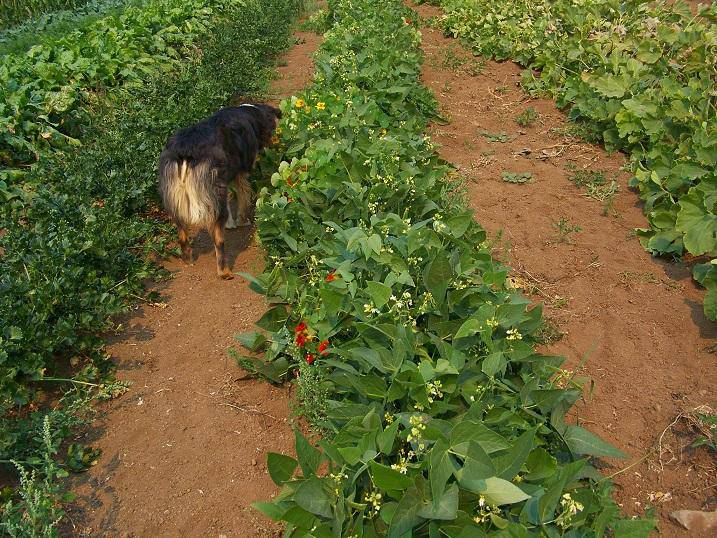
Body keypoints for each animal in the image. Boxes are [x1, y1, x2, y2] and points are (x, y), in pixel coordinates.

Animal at [159, 104, 280, 278]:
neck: (251, 112)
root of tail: (186, 152)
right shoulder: (240, 174)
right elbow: (243, 196)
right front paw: (242, 221)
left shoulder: (224, 182)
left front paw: (230, 223)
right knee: (219, 241)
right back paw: (224, 272)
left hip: (177, 200)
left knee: (182, 236)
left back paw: (188, 260)